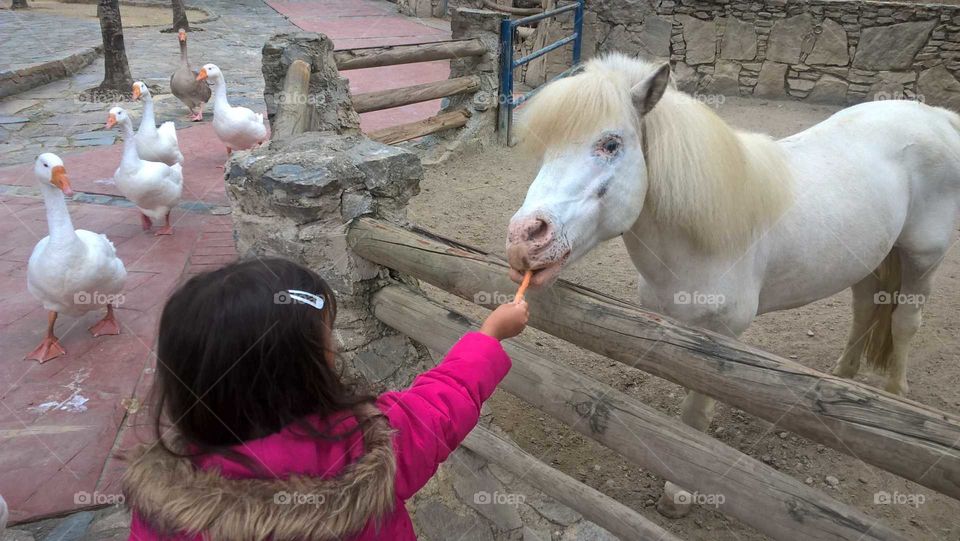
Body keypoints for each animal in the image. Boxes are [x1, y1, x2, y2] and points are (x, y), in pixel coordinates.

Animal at [505, 53, 960, 518]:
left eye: (611, 144)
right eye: (546, 149)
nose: (524, 237)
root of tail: (938, 117)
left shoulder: (720, 340)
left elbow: (695, 415)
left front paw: (678, 493)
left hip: (923, 258)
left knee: (905, 321)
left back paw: (896, 394)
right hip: (870, 258)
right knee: (866, 309)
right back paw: (842, 381)